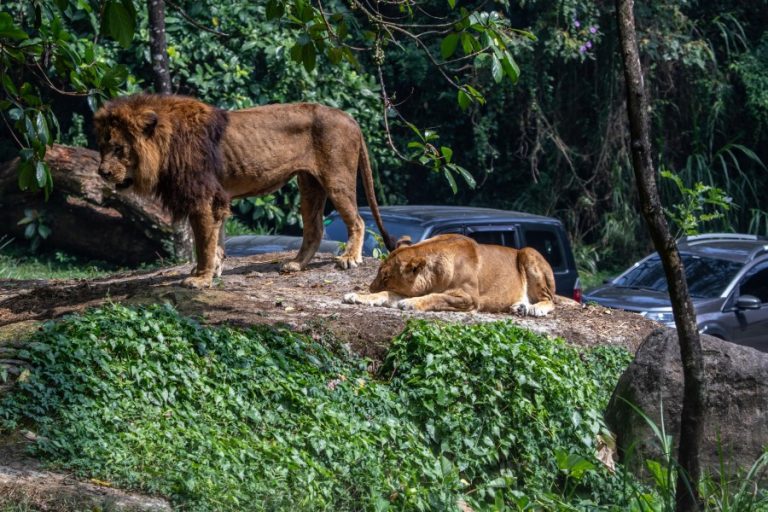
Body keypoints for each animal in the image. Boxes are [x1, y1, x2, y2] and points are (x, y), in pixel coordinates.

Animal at [95, 94, 392, 290]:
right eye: (102, 147)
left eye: (119, 149)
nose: (102, 173)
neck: (166, 144)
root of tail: (349, 117)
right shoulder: (215, 198)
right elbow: (215, 240)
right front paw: (213, 270)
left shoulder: (203, 197)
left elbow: (203, 242)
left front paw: (200, 278)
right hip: (309, 185)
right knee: (314, 229)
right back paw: (296, 264)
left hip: (336, 178)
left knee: (358, 220)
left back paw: (349, 258)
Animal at [344, 235, 556, 316]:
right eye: (380, 274)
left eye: (386, 277)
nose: (370, 287)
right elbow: (384, 295)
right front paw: (357, 296)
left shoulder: (470, 298)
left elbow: (438, 297)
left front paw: (411, 303)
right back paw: (519, 307)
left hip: (528, 252)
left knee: (550, 300)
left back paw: (534, 309)